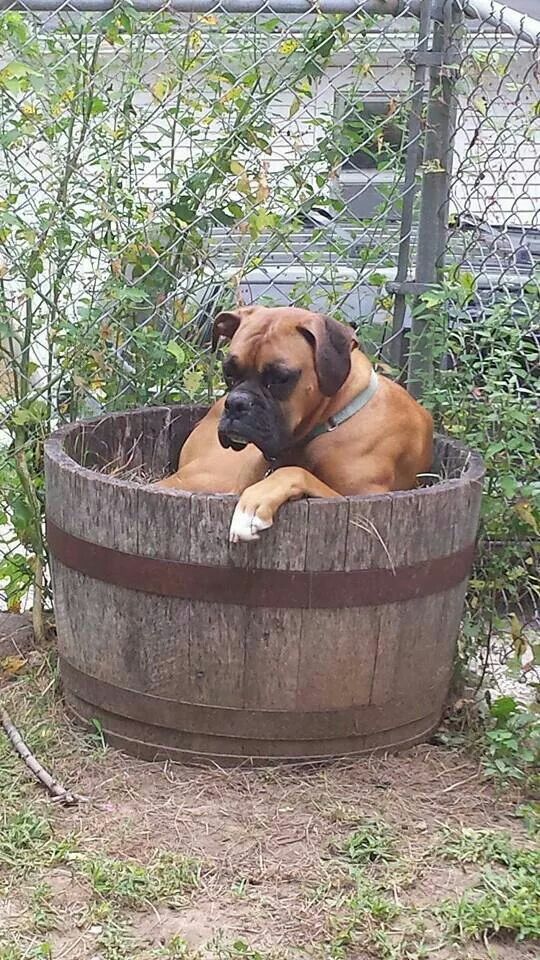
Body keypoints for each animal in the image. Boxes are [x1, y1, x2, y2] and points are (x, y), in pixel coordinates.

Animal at [159, 308, 434, 548]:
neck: (333, 418)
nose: (236, 403)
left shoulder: (362, 500)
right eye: (228, 372)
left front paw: (253, 506)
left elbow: (295, 472)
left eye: (280, 378)